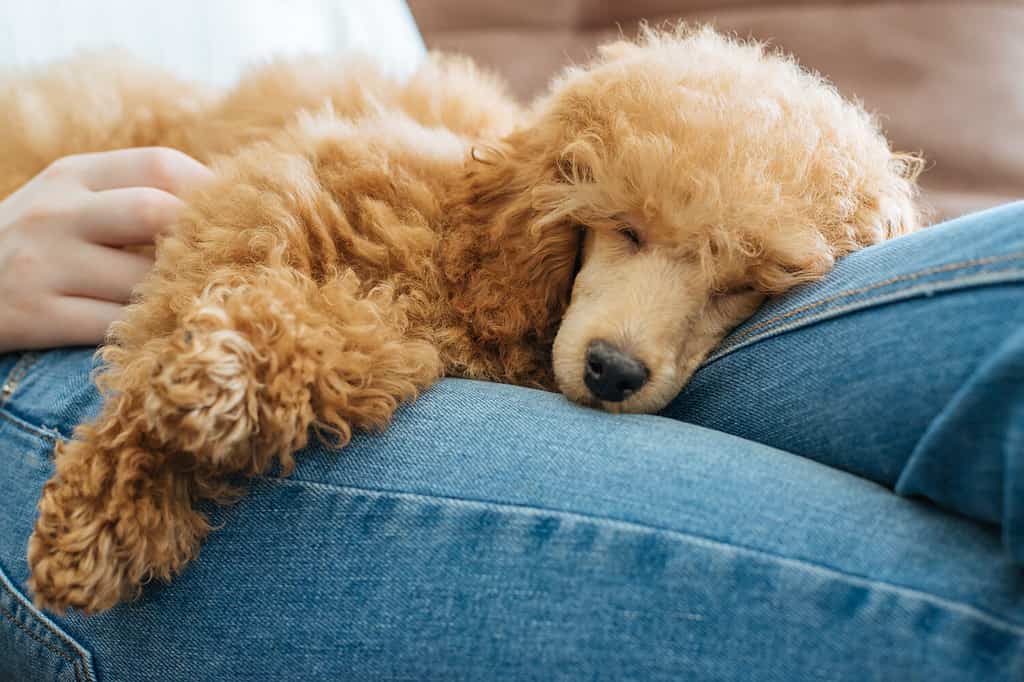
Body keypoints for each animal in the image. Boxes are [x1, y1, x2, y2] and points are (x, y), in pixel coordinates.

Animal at [0, 25, 921, 610]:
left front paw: (202, 411)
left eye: (744, 285)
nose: (614, 373)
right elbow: (171, 325)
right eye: (625, 226)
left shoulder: (387, 334)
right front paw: (114, 504)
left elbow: (325, 346)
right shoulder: (269, 198)